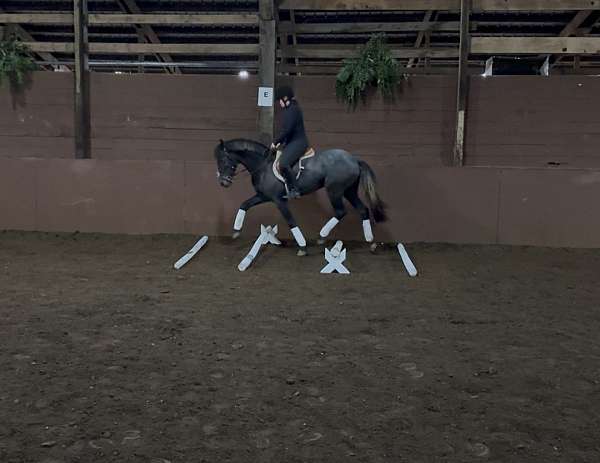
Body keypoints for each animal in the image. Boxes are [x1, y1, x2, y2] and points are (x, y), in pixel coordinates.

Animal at [213, 138, 386, 256]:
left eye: (223, 159)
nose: (223, 182)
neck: (263, 166)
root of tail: (354, 159)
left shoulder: (279, 200)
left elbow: (290, 221)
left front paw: (302, 246)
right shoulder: (263, 196)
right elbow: (244, 204)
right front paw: (236, 231)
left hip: (335, 190)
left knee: (341, 211)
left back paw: (322, 236)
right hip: (349, 191)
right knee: (363, 210)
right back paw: (370, 242)